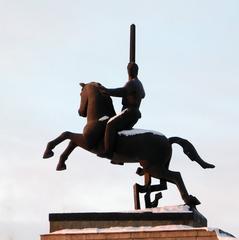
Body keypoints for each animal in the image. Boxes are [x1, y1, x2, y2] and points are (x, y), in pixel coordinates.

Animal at [43, 81, 215, 205]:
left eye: (81, 93)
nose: (80, 112)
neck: (99, 119)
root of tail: (167, 140)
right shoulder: (85, 142)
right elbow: (70, 142)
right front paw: (60, 163)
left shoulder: (88, 143)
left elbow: (67, 135)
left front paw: (48, 151)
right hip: (159, 166)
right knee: (164, 183)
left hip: (154, 167)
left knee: (176, 176)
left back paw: (189, 200)